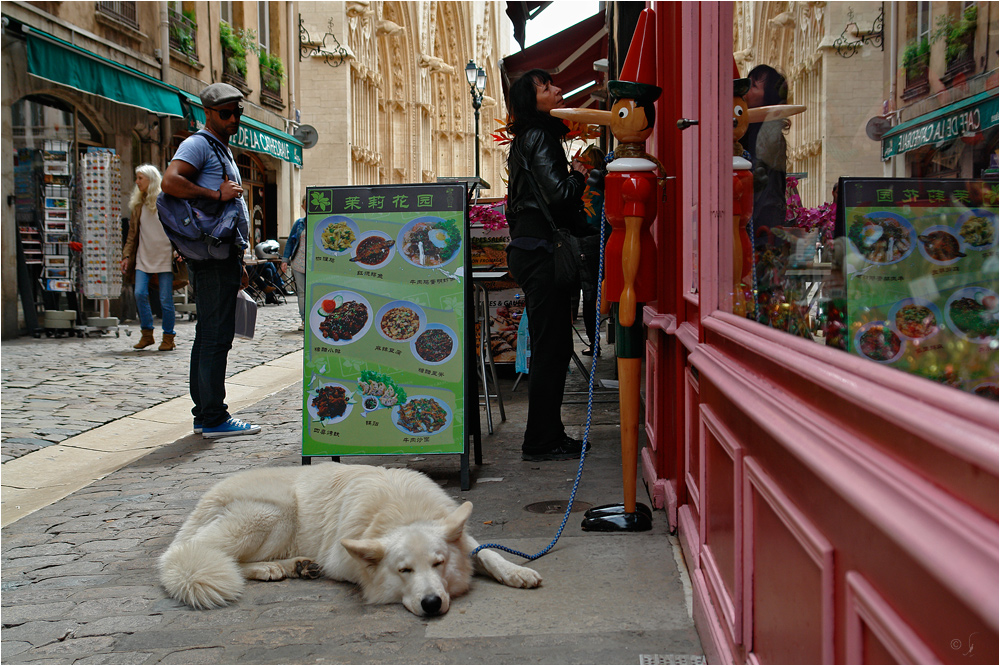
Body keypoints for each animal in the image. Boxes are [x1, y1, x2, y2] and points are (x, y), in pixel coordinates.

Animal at [159, 462, 544, 612]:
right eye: (404, 571)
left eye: (439, 563)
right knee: (207, 556)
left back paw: (296, 565)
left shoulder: (458, 533)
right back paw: (273, 568)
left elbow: (487, 552)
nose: (432, 604)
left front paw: (517, 572)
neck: (402, 510)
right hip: (273, 513)